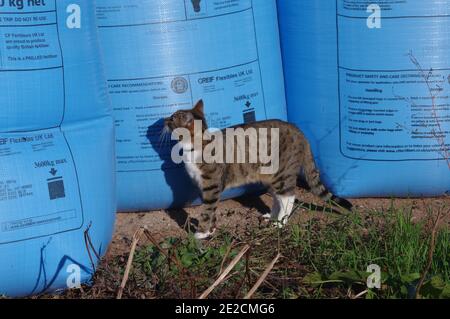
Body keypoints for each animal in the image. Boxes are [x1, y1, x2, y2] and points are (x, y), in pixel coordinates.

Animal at [163, 100, 354, 240]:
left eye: (172, 118)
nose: (164, 120)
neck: (196, 145)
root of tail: (299, 131)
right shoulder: (204, 188)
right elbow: (212, 212)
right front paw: (211, 230)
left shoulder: (211, 187)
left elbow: (207, 211)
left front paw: (201, 233)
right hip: (271, 176)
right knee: (278, 198)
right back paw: (273, 217)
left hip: (282, 173)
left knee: (288, 197)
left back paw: (280, 223)